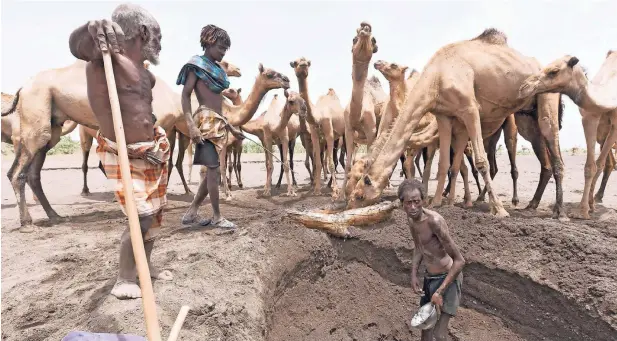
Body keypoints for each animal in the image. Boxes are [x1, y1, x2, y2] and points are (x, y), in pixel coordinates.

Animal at [290, 57, 346, 195]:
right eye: (295, 62)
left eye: (308, 62)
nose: (303, 65)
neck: (318, 116)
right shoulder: (314, 136)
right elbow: (318, 162)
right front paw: (316, 189)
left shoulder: (329, 134)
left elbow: (330, 163)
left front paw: (335, 191)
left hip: (342, 134)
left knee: (339, 158)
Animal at [344, 27, 564, 222]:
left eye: (360, 194)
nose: (348, 204)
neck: (436, 78)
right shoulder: (444, 116)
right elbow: (444, 164)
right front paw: (437, 202)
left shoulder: (469, 109)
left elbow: (480, 162)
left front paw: (499, 210)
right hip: (526, 118)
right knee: (542, 154)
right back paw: (532, 204)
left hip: (546, 98)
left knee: (552, 147)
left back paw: (558, 212)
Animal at [516, 51, 616, 219]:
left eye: (554, 71)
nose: (524, 87)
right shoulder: (590, 116)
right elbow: (591, 166)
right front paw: (583, 210)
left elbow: (597, 164)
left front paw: (583, 210)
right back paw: (592, 203)